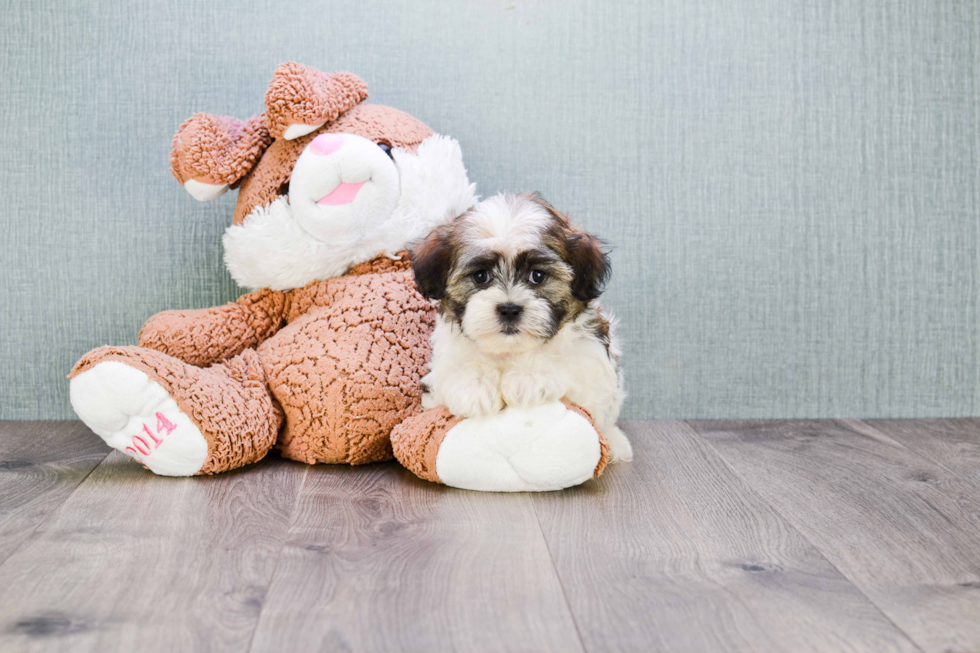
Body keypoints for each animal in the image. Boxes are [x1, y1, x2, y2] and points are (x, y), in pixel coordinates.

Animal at [410, 191, 632, 460]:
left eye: (537, 276)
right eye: (480, 276)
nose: (509, 309)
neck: (510, 350)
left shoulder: (592, 362)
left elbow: (567, 362)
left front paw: (529, 377)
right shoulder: (442, 366)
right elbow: (454, 370)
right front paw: (475, 386)